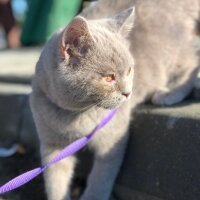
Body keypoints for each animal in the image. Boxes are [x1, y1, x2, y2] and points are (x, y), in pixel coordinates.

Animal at [30, 7, 135, 200]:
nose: (128, 93)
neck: (75, 116)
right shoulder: (52, 146)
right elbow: (56, 182)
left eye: (129, 70)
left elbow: (101, 178)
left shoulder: (113, 139)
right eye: (108, 77)